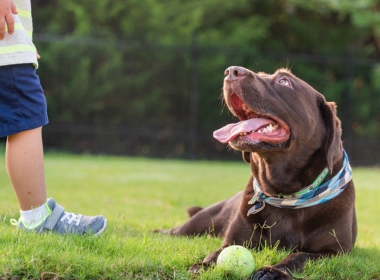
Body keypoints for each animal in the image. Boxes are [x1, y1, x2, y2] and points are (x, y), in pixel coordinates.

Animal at [155, 66, 356, 278]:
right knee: (176, 231)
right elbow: (217, 253)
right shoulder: (234, 239)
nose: (231, 71)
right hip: (199, 222)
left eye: (284, 81)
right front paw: (203, 265)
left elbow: (299, 256)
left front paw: (272, 271)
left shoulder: (334, 252)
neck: (283, 194)